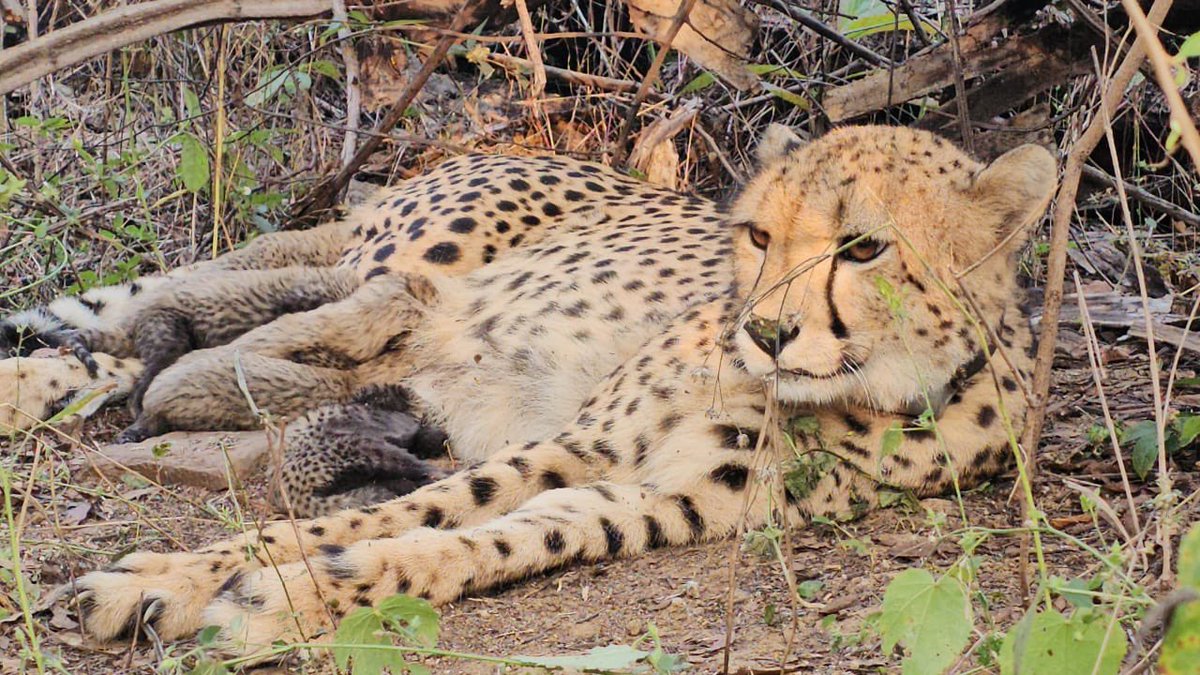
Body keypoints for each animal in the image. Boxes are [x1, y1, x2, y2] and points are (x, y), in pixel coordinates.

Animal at [39, 124, 1056, 660]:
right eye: (760, 234)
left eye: (864, 246)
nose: (764, 331)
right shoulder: (585, 440)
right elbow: (406, 508)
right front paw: (172, 576)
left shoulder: (660, 498)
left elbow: (492, 538)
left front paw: (292, 593)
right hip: (404, 258)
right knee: (166, 316)